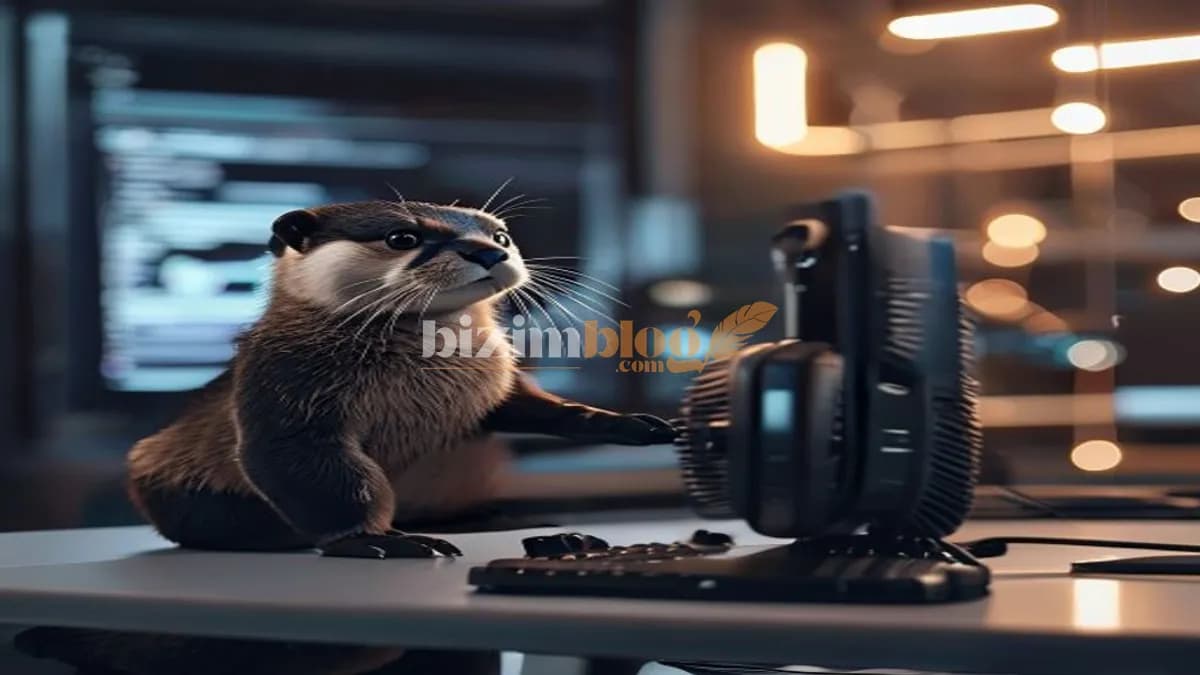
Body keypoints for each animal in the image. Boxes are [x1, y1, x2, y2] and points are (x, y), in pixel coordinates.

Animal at [125, 199, 675, 558]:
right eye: (404, 237)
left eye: (499, 235)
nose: (489, 252)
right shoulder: (284, 377)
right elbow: (304, 461)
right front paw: (370, 540)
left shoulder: (493, 379)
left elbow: (529, 406)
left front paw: (628, 424)